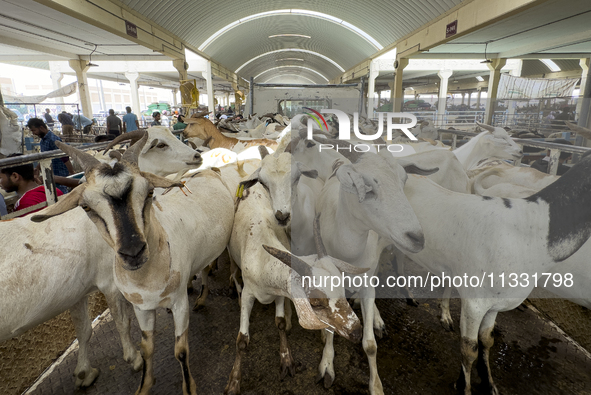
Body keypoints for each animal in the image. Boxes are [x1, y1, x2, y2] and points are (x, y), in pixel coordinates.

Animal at [32, 135, 235, 395]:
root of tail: (207, 170)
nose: (133, 252)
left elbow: (180, 351)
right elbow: (146, 347)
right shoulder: (141, 307)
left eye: (149, 192)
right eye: (86, 206)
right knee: (204, 267)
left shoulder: (179, 302)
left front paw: (189, 388)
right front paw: (144, 385)